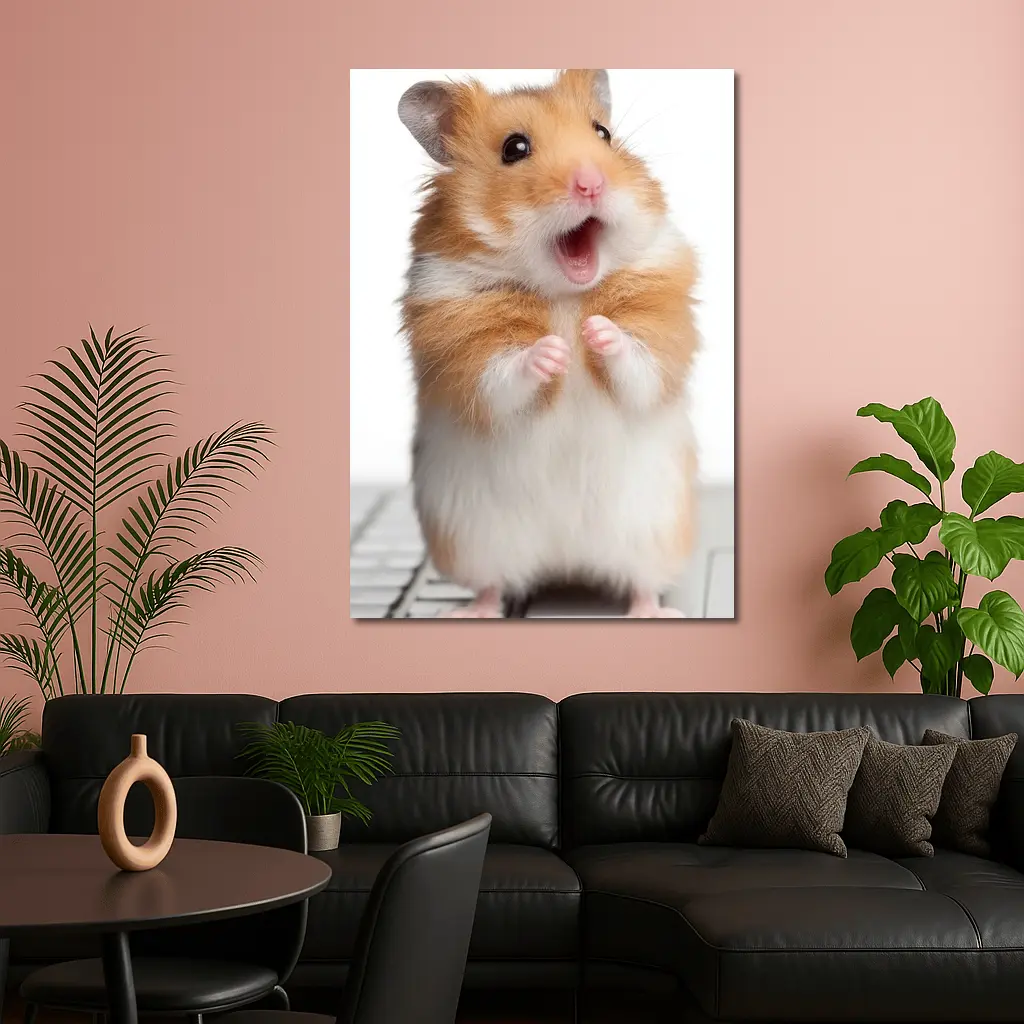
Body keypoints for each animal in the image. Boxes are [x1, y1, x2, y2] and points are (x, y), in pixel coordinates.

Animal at [397, 69, 699, 618]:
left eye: (603, 133)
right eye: (514, 148)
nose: (592, 182)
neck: (565, 294)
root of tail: (567, 563)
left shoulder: (661, 339)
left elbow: (639, 366)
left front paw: (594, 332)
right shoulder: (465, 358)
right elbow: (503, 377)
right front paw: (554, 350)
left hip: (656, 532)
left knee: (643, 583)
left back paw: (657, 611)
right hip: (474, 541)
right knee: (491, 585)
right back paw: (467, 612)